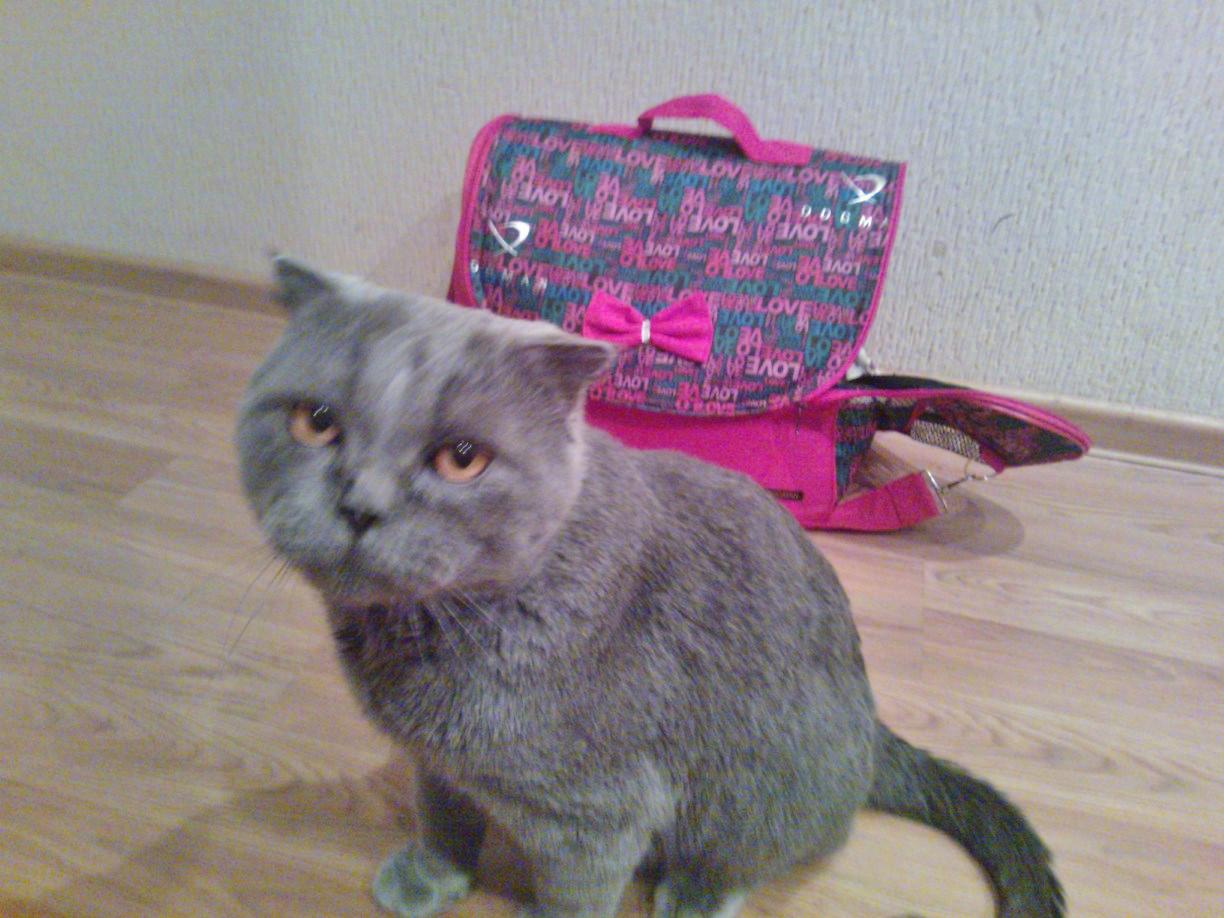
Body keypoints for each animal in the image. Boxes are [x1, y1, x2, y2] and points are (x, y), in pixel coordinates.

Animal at [235, 257, 1064, 918]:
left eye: (461, 459)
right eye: (315, 422)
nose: (360, 505)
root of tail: (873, 725)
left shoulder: (594, 816)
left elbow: (575, 896)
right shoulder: (441, 764)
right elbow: (444, 819)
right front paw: (429, 878)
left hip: (755, 778)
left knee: (750, 850)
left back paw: (692, 896)